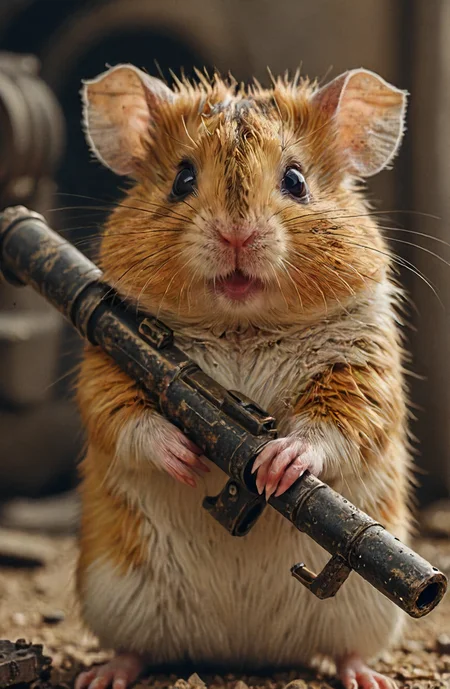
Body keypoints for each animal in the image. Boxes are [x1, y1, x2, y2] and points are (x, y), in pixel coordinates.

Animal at [75, 64, 410, 689]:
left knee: (347, 649)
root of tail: (245, 652)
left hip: (368, 611)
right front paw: (186, 457)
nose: (236, 234)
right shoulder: (104, 369)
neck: (242, 325)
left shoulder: (364, 369)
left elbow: (335, 427)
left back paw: (367, 677)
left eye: (297, 180)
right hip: (115, 590)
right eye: (181, 179)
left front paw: (279, 464)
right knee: (136, 648)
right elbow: (127, 418)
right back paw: (105, 674)